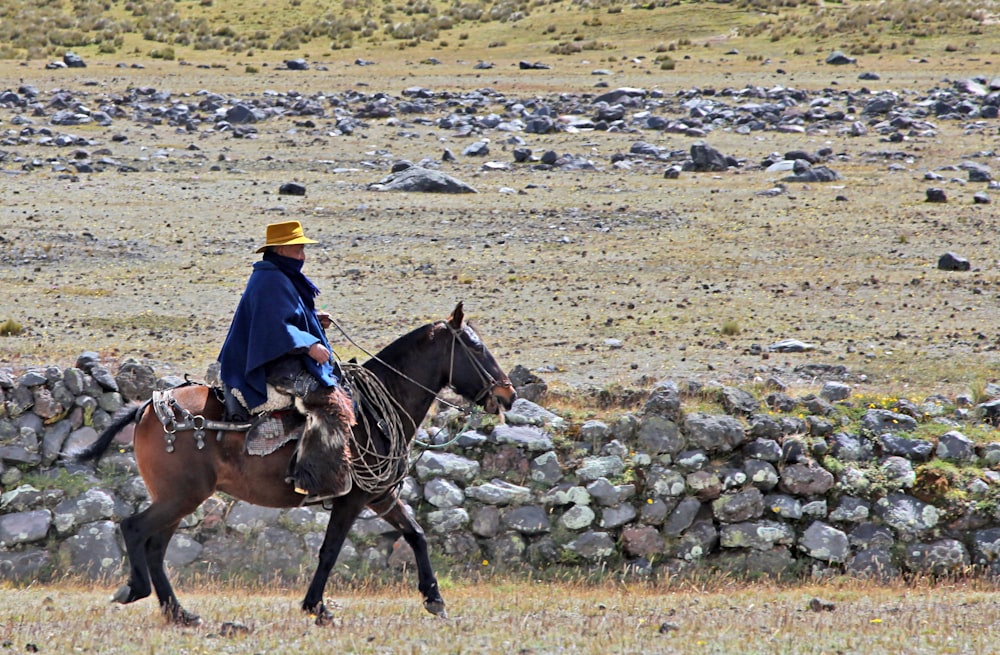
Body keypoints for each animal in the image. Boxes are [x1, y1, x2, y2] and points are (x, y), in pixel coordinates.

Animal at [76, 304, 516, 628]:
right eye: (476, 347)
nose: (507, 395)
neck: (374, 412)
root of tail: (150, 406)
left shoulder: (378, 495)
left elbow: (417, 534)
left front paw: (434, 598)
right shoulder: (352, 498)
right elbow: (330, 550)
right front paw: (316, 608)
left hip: (178, 498)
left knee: (155, 546)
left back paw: (179, 613)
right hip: (180, 496)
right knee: (135, 529)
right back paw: (135, 590)